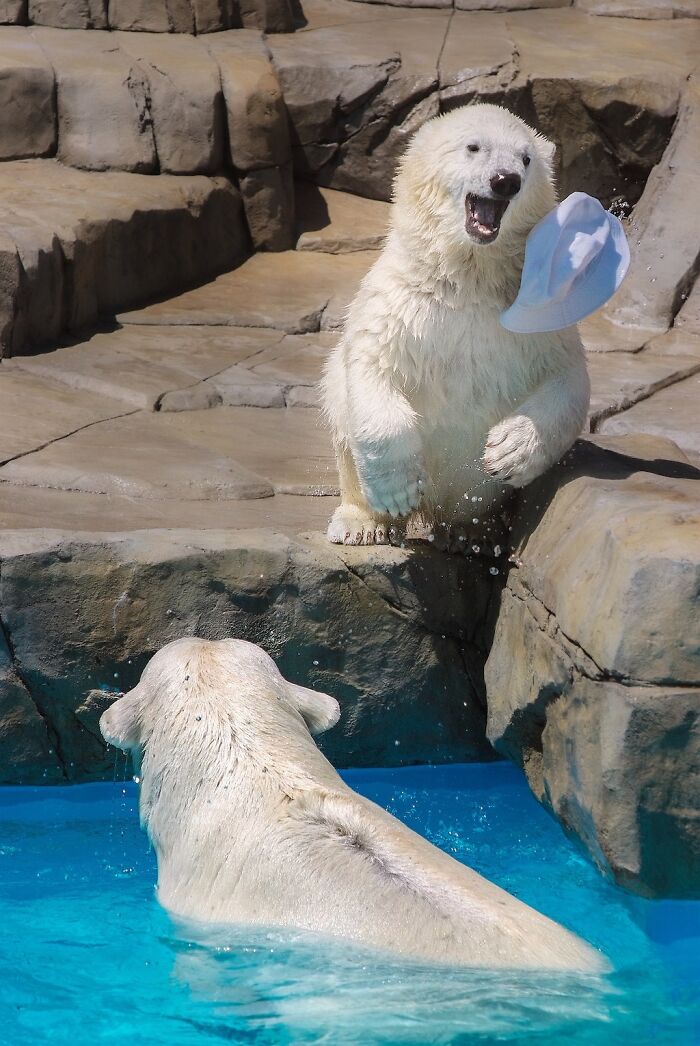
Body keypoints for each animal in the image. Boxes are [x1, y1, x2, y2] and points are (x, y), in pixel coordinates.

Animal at [322, 105, 590, 548]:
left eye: (526, 159)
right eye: (474, 146)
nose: (505, 180)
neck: (468, 277)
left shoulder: (540, 313)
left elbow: (568, 379)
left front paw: (508, 451)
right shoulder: (399, 303)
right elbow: (372, 365)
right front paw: (397, 492)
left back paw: (470, 533)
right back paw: (363, 523)